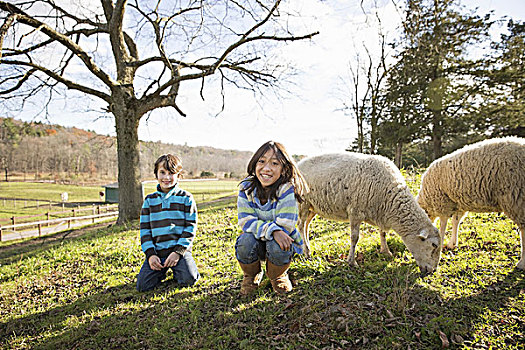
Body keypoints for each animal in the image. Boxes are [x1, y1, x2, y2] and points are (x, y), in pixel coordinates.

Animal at [296, 152, 440, 274]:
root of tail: (298, 164)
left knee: (307, 225)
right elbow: (354, 238)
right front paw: (352, 262)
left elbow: (383, 233)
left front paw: (386, 251)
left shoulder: (382, 213)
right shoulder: (355, 212)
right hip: (302, 202)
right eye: (434, 245)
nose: (432, 271)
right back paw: (307, 252)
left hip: (313, 206)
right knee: (301, 225)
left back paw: (307, 247)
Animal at [416, 135, 520, 270]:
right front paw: (452, 243)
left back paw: (521, 263)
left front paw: (442, 241)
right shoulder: (457, 205)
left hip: (515, 194)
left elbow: (443, 224)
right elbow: (455, 221)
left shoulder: (442, 203)